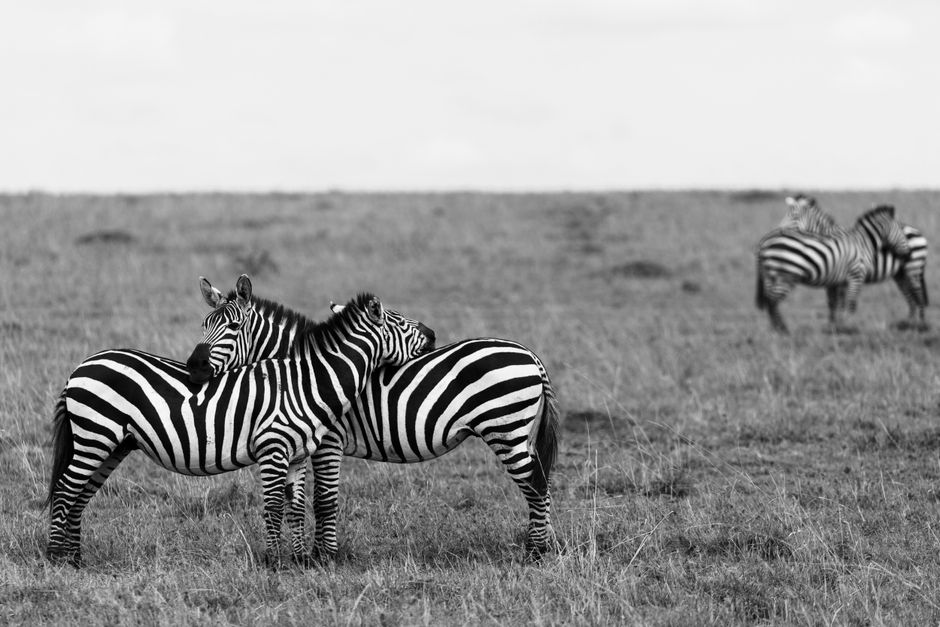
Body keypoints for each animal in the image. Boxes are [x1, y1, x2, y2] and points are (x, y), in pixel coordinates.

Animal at [45, 287, 434, 567]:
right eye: (401, 323)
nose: (432, 334)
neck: (307, 381)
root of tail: (81, 366)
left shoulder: (297, 454)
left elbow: (295, 507)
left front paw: (299, 561)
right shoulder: (275, 448)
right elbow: (276, 506)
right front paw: (274, 562)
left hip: (113, 444)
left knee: (81, 494)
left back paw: (76, 559)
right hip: (95, 435)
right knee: (65, 488)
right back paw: (55, 558)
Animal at [188, 275, 560, 559]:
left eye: (233, 326)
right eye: (204, 325)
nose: (194, 367)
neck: (307, 373)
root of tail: (530, 355)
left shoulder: (328, 441)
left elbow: (324, 500)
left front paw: (324, 556)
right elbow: (308, 500)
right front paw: (315, 553)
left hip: (506, 428)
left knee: (536, 484)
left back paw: (536, 552)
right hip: (516, 431)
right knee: (541, 482)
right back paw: (547, 545)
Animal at [779, 195, 929, 330]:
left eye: (794, 216)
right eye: (786, 215)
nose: (779, 231)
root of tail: (916, 231)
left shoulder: (838, 279)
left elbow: (839, 303)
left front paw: (838, 325)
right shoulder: (834, 279)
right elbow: (832, 302)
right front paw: (833, 325)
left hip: (913, 268)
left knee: (917, 294)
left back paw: (921, 325)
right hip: (900, 274)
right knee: (910, 296)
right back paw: (908, 323)